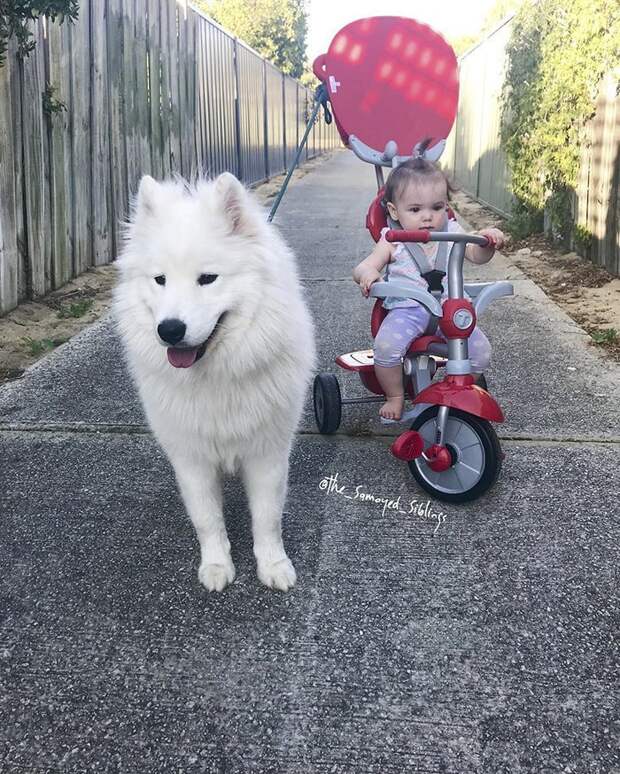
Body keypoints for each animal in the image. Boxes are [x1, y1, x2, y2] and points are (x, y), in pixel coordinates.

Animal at [112, 173, 314, 592]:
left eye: (208, 279)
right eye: (160, 280)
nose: (170, 330)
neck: (217, 376)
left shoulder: (267, 453)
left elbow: (267, 518)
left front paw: (273, 566)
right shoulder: (191, 457)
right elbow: (207, 519)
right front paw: (218, 566)